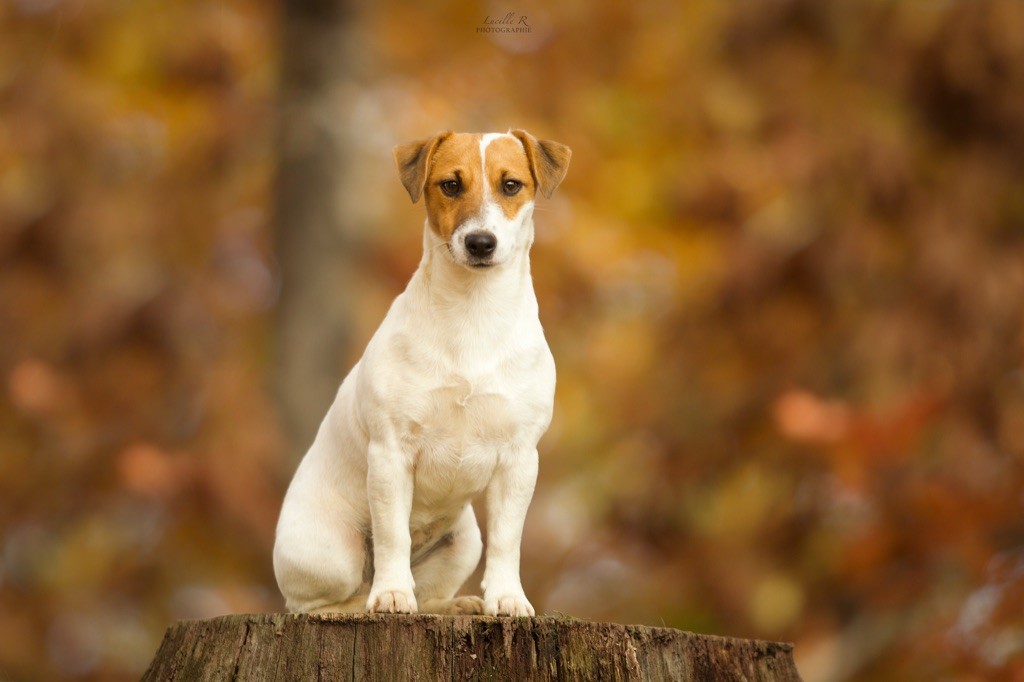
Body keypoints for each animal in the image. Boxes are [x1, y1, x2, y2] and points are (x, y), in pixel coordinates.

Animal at [276, 130, 573, 614]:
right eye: (451, 185)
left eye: (511, 185)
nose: (480, 242)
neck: (473, 310)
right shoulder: (391, 453)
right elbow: (392, 535)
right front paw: (392, 593)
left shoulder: (519, 458)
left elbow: (508, 540)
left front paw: (507, 598)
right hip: (332, 554)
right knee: (321, 603)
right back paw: (370, 599)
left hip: (463, 543)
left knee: (432, 591)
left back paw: (458, 605)